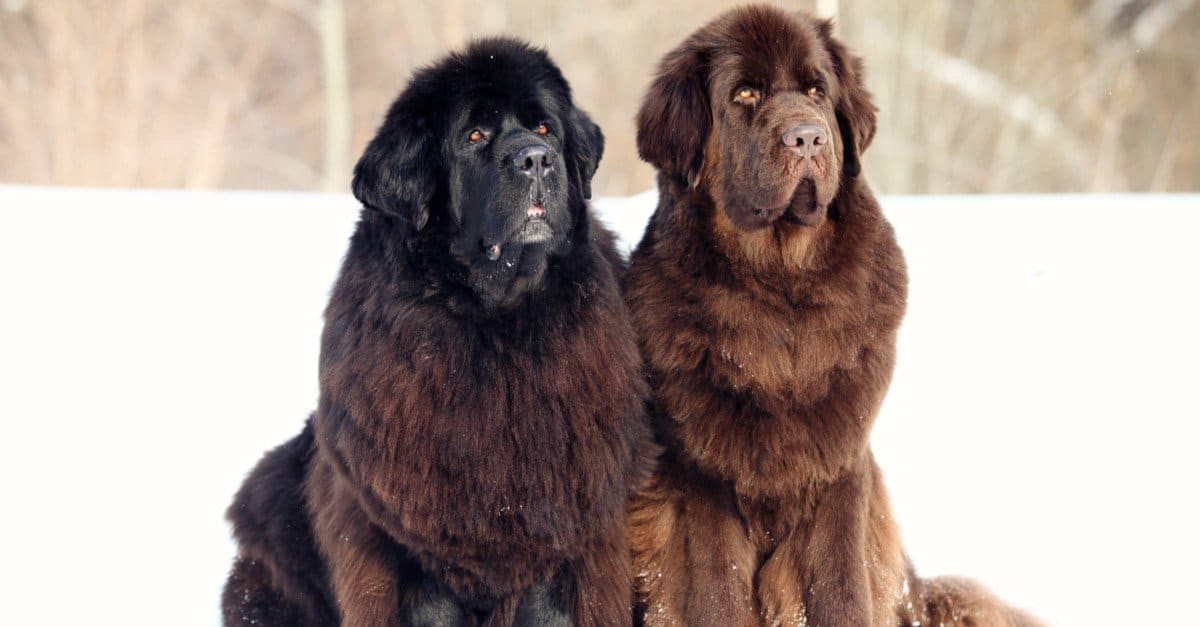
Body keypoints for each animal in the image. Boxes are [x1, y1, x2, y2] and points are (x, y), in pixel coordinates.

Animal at [225, 39, 657, 624]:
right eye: (474, 136)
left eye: (545, 128)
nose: (535, 159)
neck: (494, 326)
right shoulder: (405, 540)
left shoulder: (565, 532)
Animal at [628, 6, 1041, 624]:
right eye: (744, 93)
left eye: (816, 91)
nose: (807, 137)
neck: (782, 292)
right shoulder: (698, 479)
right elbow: (718, 589)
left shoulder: (839, 470)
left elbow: (839, 585)